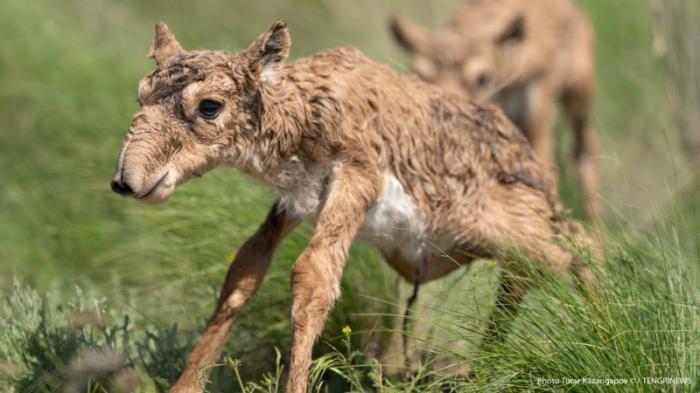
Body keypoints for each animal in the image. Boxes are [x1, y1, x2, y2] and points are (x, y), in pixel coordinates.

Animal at [112, 20, 592, 392]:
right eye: (140, 94)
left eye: (209, 106)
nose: (124, 182)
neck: (304, 107)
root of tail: (529, 160)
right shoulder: (292, 203)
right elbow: (244, 273)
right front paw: (184, 385)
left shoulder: (357, 179)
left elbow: (313, 278)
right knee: (532, 268)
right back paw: (481, 367)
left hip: (509, 223)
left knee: (577, 250)